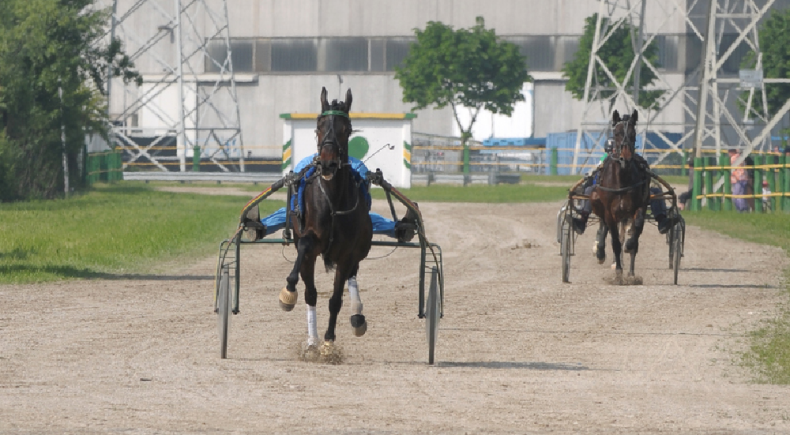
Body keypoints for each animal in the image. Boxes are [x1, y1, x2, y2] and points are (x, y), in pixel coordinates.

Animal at [278, 87, 374, 352]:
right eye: (318, 126)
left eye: (347, 128)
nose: (329, 162)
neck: (332, 199)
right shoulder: (309, 241)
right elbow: (308, 289)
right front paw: (288, 291)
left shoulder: (347, 253)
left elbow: (335, 299)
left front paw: (329, 342)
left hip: (360, 249)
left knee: (352, 276)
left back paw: (357, 315)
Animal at [592, 109, 652, 280]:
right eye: (617, 133)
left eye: (633, 133)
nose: (625, 157)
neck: (622, 179)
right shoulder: (609, 212)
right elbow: (615, 241)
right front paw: (618, 270)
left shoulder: (639, 206)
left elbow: (635, 230)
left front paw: (629, 245)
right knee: (604, 229)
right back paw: (601, 252)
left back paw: (631, 272)